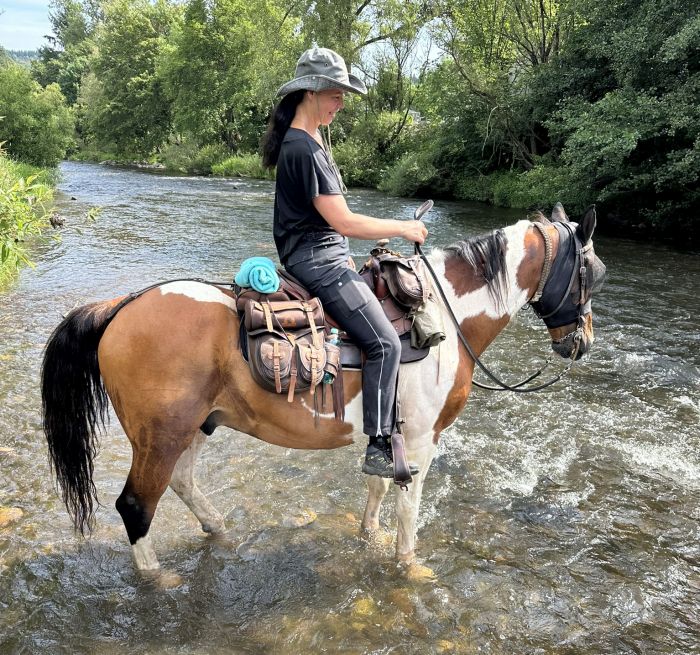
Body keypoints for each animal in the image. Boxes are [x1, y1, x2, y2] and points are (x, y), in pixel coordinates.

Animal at [41, 202, 604, 572]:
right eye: (592, 272)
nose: (582, 341)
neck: (445, 316)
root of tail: (123, 305)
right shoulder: (422, 438)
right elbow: (409, 510)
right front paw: (410, 567)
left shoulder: (389, 432)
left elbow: (379, 486)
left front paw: (368, 536)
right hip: (160, 434)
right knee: (136, 506)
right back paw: (159, 579)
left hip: (194, 426)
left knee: (180, 483)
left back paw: (220, 531)